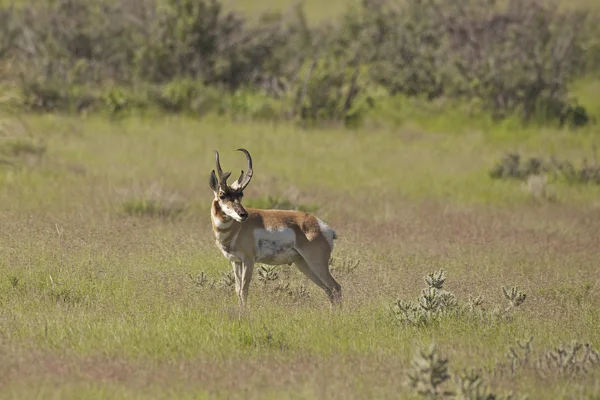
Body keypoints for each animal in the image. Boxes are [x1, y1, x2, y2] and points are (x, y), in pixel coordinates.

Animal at [207, 148, 340, 308]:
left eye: (240, 194)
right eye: (222, 195)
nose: (243, 214)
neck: (236, 229)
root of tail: (322, 226)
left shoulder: (248, 261)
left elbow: (244, 290)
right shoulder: (236, 262)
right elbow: (238, 290)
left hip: (316, 262)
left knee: (335, 287)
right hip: (303, 264)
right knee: (328, 290)